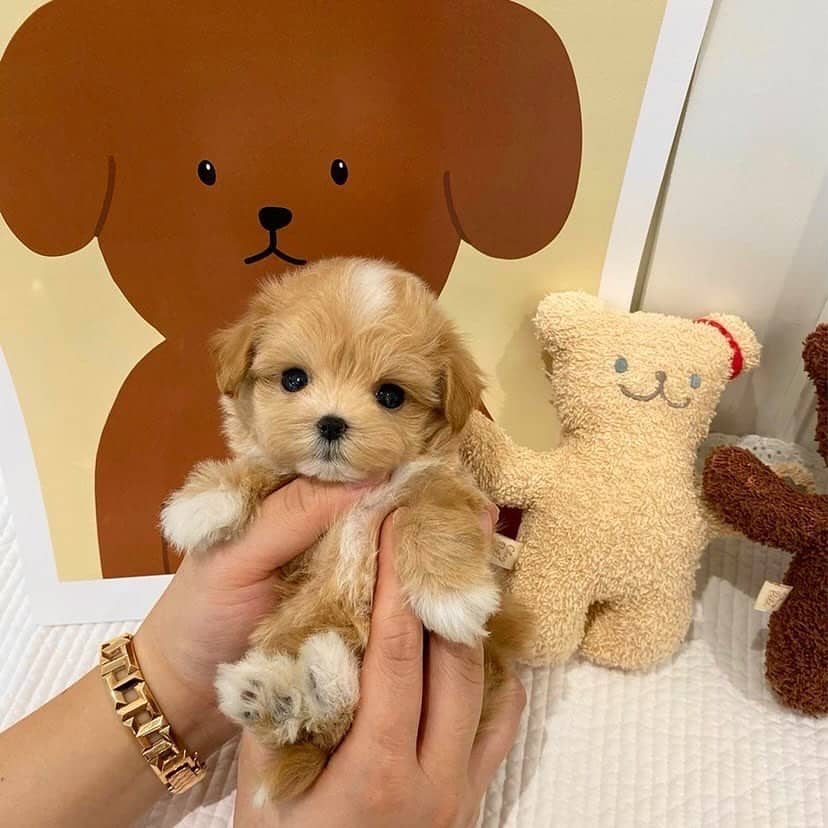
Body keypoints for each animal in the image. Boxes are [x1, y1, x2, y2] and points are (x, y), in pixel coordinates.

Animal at [160, 258, 532, 804]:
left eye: (390, 395)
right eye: (294, 379)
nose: (332, 423)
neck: (352, 491)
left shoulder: (442, 483)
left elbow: (433, 512)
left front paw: (453, 596)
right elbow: (266, 468)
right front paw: (202, 502)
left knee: (331, 722)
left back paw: (314, 677)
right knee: (315, 728)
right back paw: (275, 693)